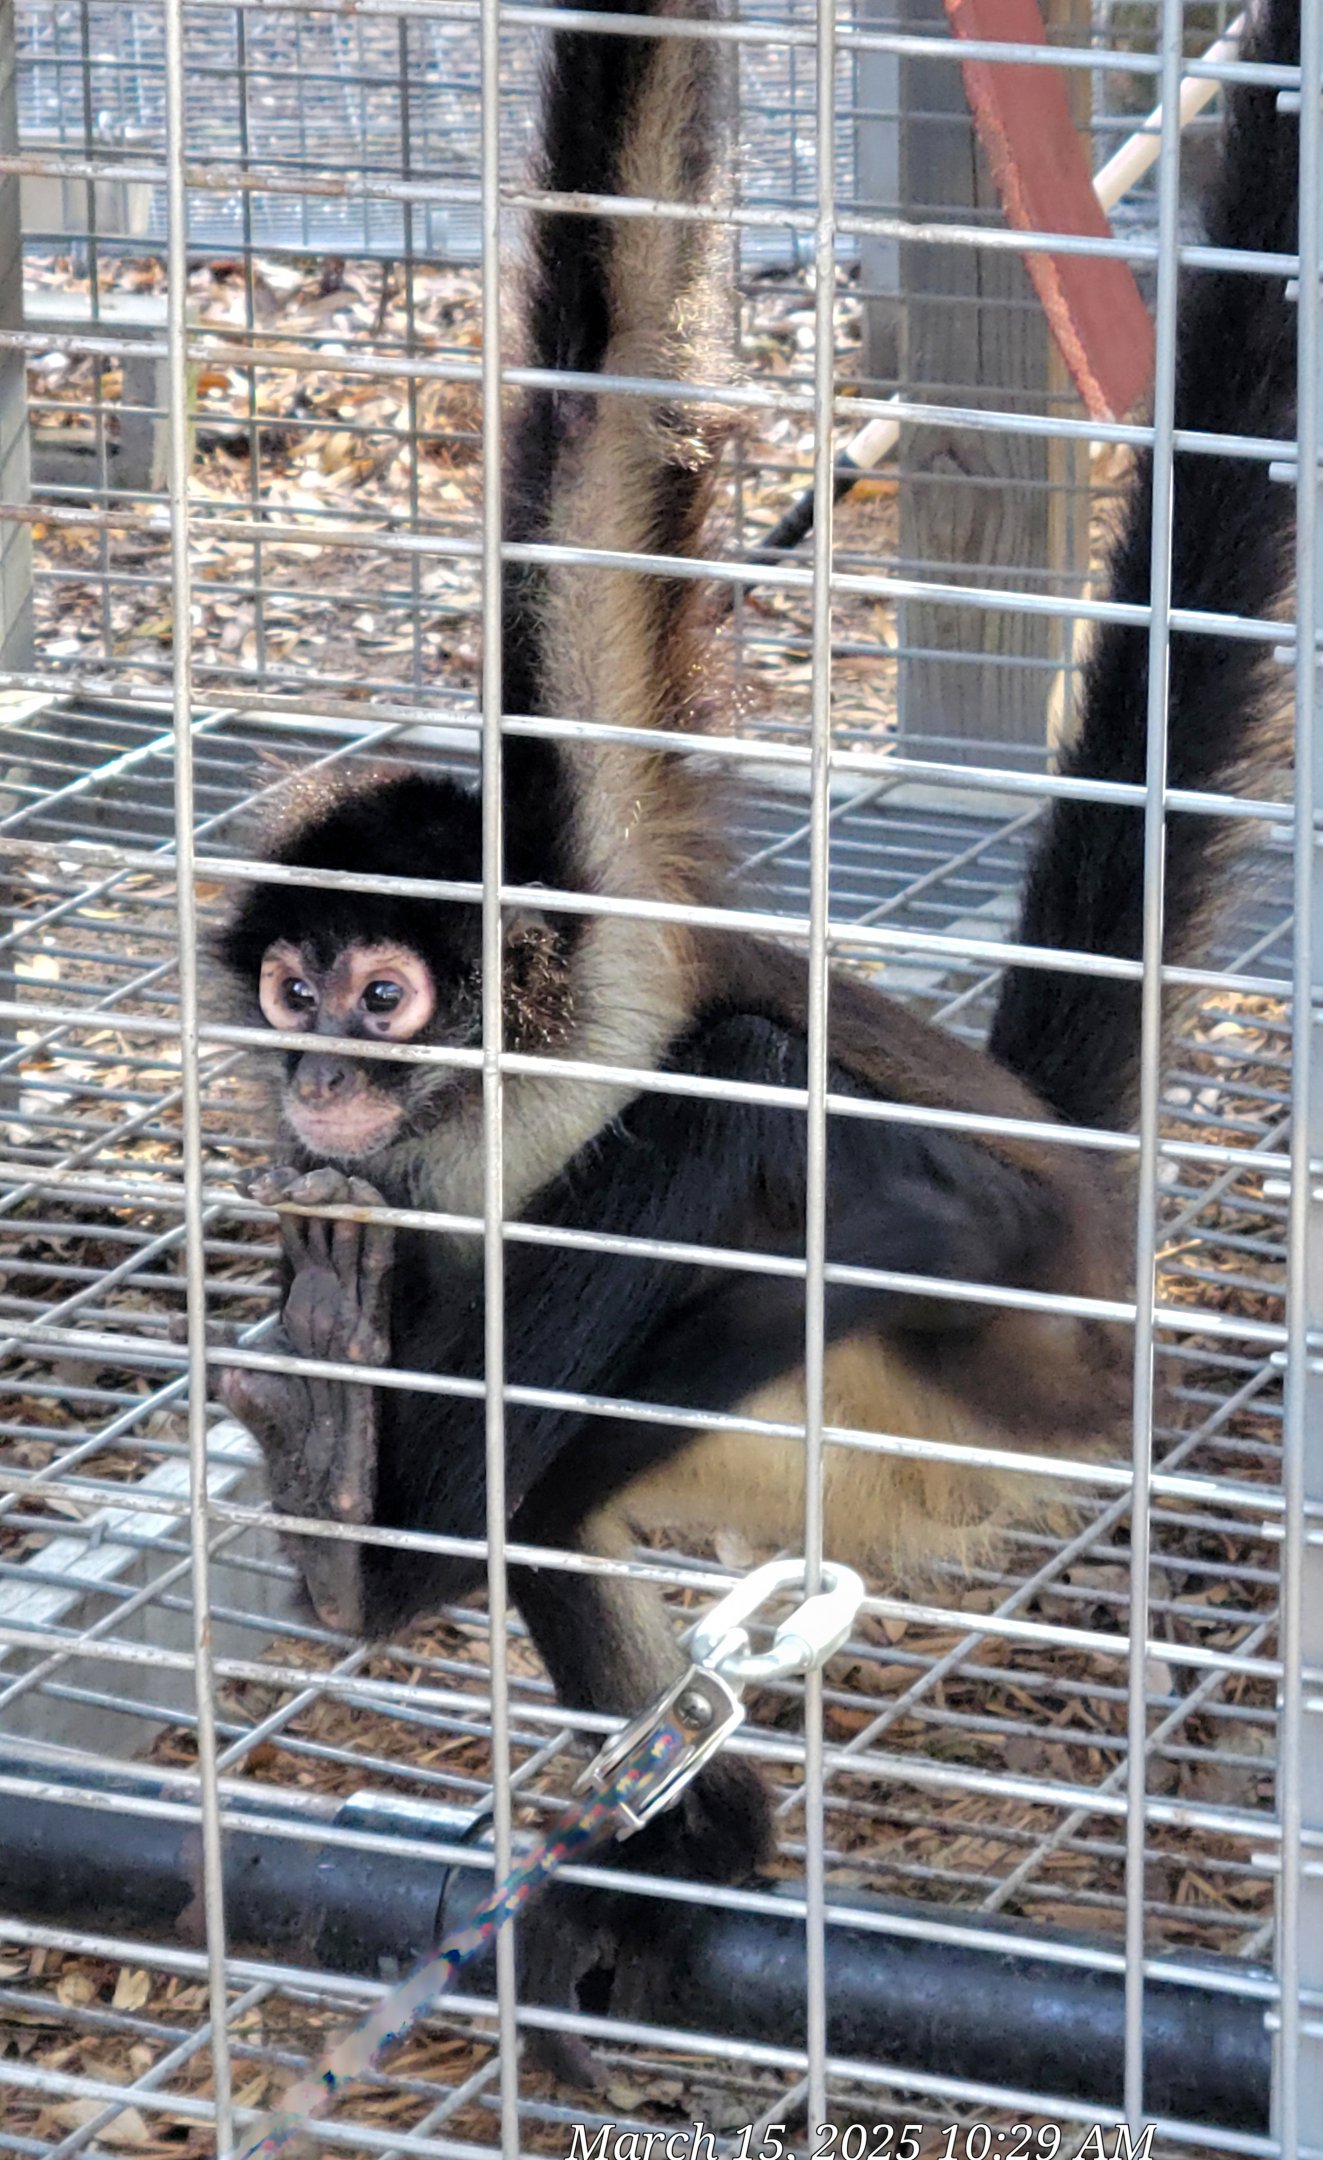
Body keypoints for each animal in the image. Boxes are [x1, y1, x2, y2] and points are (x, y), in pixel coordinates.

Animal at [213, 0, 1299, 2067]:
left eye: (382, 996)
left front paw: (401, 1524)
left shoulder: (603, 883)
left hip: (998, 1381)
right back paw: (678, 1814)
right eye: (292, 990)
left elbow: (607, 333)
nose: (316, 1071)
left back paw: (382, 1538)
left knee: (735, 1138)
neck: (512, 1087)